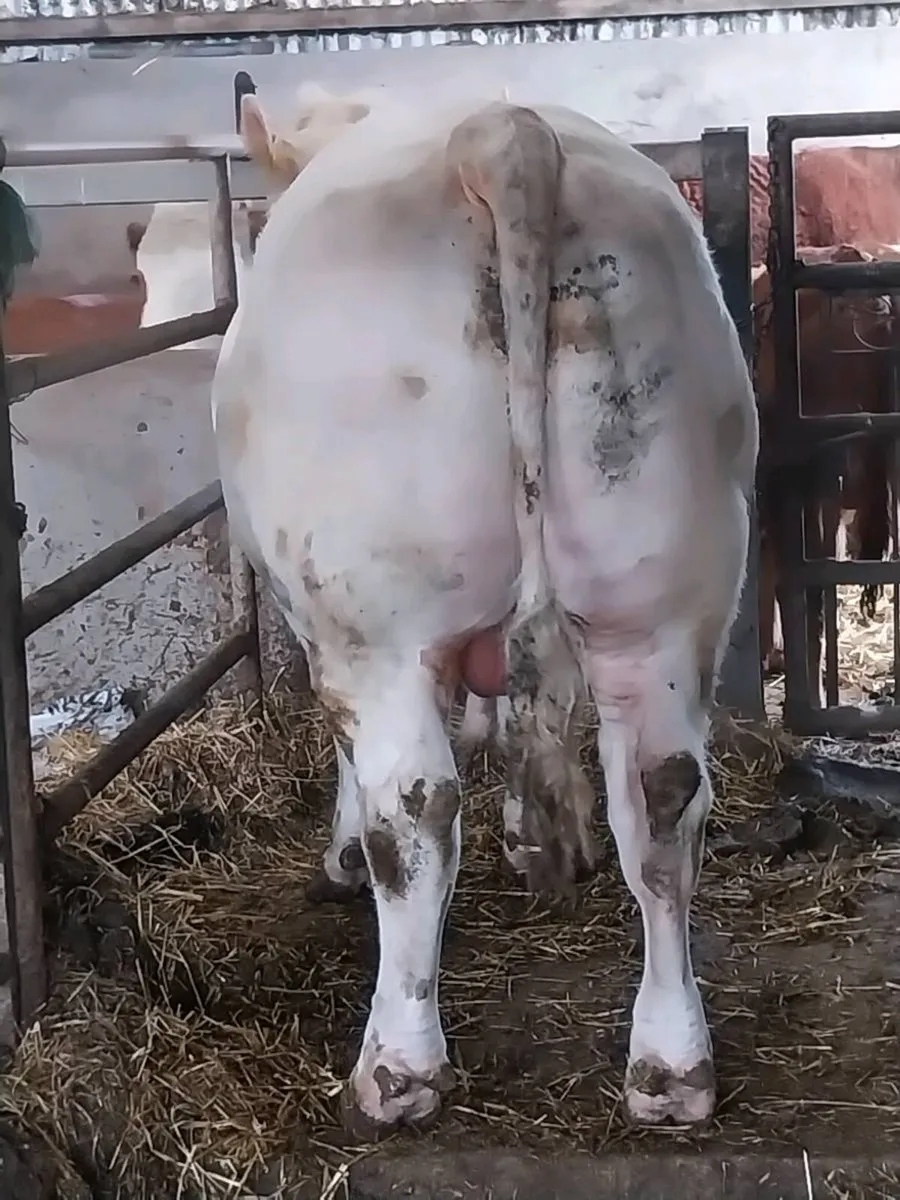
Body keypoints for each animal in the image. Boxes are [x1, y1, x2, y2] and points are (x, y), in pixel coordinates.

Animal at [213, 84, 757, 1137]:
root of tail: (500, 133)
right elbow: (511, 719)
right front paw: (528, 835)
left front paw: (340, 856)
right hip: (662, 596)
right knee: (662, 800)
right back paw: (672, 1066)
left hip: (374, 618)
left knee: (414, 809)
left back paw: (398, 1066)